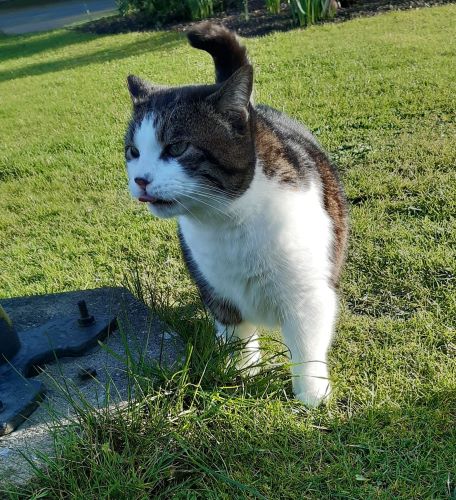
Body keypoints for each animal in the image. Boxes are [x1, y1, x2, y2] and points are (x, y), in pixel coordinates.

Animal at [123, 22, 348, 406]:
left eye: (178, 147)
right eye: (133, 152)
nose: (141, 179)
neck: (228, 220)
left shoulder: (308, 294)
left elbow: (306, 345)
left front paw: (311, 394)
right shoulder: (218, 290)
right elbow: (236, 335)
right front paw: (242, 373)